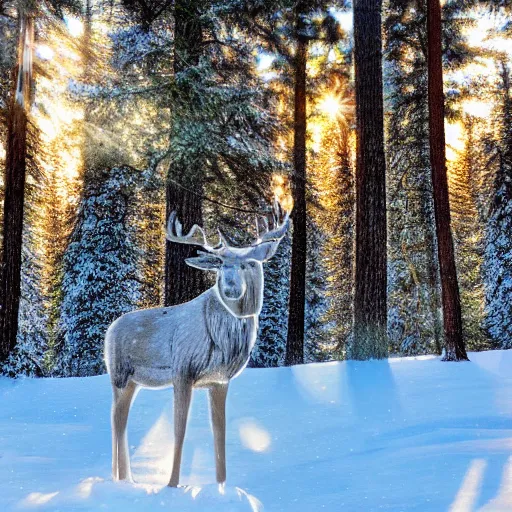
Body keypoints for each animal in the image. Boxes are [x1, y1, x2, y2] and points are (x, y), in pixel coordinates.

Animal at [104, 200, 288, 488]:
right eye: (219, 264)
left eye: (249, 263)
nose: (231, 289)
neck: (225, 341)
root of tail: (109, 330)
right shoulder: (183, 369)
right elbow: (179, 429)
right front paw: (172, 484)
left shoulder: (219, 380)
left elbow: (219, 431)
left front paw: (221, 485)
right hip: (119, 374)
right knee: (115, 418)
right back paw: (121, 479)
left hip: (133, 382)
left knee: (120, 418)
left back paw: (126, 479)